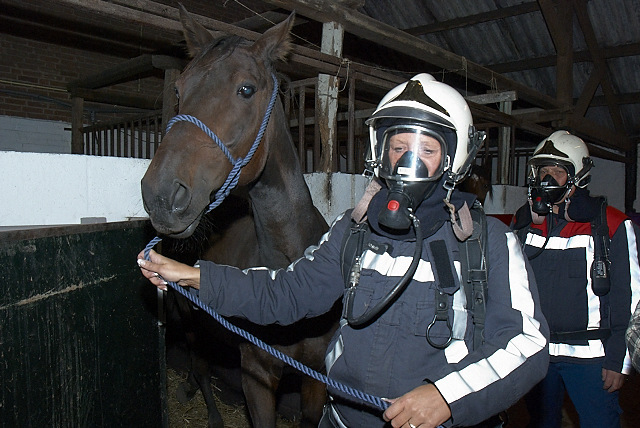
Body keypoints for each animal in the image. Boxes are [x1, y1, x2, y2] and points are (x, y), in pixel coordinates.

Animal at [141, 6, 336, 428]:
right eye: (178, 90)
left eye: (246, 89)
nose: (160, 195)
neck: (288, 272)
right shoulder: (257, 376)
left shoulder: (317, 377)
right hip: (191, 318)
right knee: (200, 366)